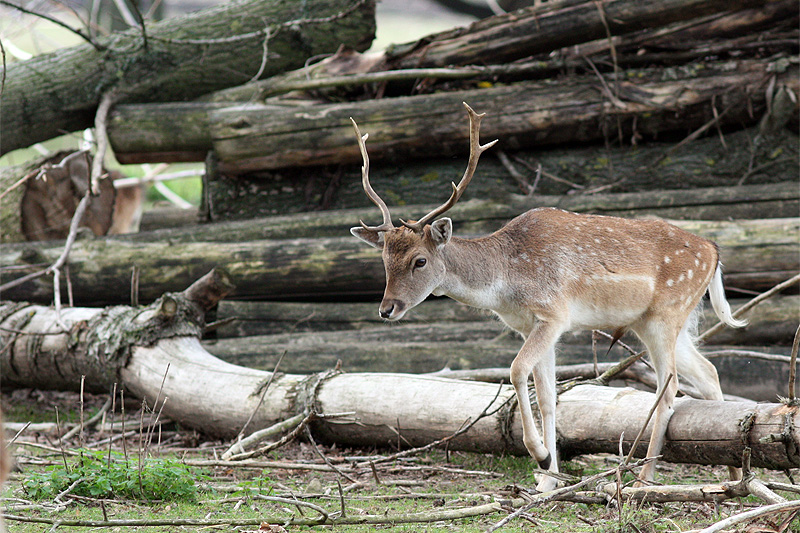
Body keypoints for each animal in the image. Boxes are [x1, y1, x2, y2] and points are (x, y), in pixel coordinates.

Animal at [354, 101, 748, 490]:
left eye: (419, 260)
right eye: (384, 260)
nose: (387, 309)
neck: (506, 283)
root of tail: (714, 251)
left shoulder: (553, 314)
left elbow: (516, 371)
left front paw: (541, 457)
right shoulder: (531, 325)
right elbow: (548, 397)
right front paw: (547, 481)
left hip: (667, 313)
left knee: (669, 390)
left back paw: (643, 480)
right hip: (659, 320)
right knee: (709, 372)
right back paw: (732, 475)